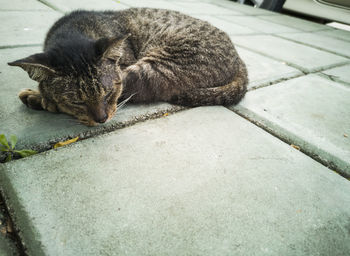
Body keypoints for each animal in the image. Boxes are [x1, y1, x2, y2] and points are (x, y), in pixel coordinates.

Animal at [8, 8, 249, 126]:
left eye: (108, 93)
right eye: (77, 101)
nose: (102, 119)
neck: (74, 29)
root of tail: (240, 60)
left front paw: (40, 96)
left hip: (154, 68)